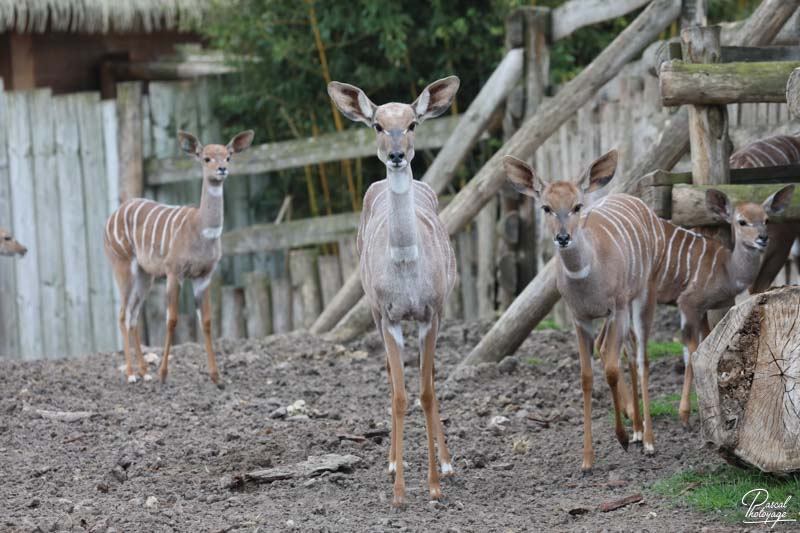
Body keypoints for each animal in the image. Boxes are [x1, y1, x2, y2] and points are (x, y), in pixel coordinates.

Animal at [103, 129, 253, 386]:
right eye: (206, 158)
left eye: (228, 156)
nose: (222, 169)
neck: (202, 230)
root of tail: (111, 218)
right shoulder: (175, 273)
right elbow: (171, 319)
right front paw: (164, 375)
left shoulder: (204, 276)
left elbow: (207, 321)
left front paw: (217, 377)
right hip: (123, 267)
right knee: (123, 314)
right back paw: (131, 374)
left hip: (146, 276)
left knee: (133, 316)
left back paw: (144, 372)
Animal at [328, 76, 460, 508]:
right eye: (377, 125)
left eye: (413, 122)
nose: (397, 155)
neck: (405, 271)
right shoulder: (387, 316)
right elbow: (401, 394)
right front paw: (400, 491)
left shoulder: (430, 312)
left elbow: (426, 392)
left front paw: (434, 485)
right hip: (371, 311)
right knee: (390, 379)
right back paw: (389, 464)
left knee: (430, 378)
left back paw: (448, 464)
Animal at [506, 150, 664, 470]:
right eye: (546, 207)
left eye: (577, 206)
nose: (563, 237)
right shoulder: (581, 318)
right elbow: (586, 377)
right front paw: (588, 460)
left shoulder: (616, 307)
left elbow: (612, 370)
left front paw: (622, 438)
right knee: (622, 351)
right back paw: (638, 430)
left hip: (645, 293)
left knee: (641, 357)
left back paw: (648, 440)